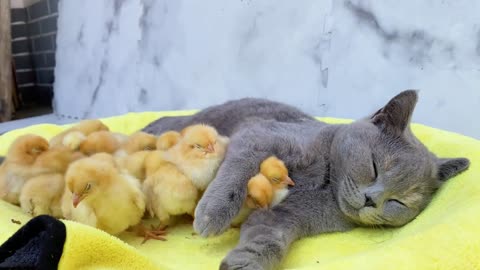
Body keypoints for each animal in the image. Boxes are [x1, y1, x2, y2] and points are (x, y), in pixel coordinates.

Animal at [142, 90, 468, 270]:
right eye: (375, 166)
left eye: (399, 202)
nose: (371, 199)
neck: (325, 187)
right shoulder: (260, 136)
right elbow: (237, 171)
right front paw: (212, 214)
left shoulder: (284, 217)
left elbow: (267, 240)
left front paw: (244, 263)